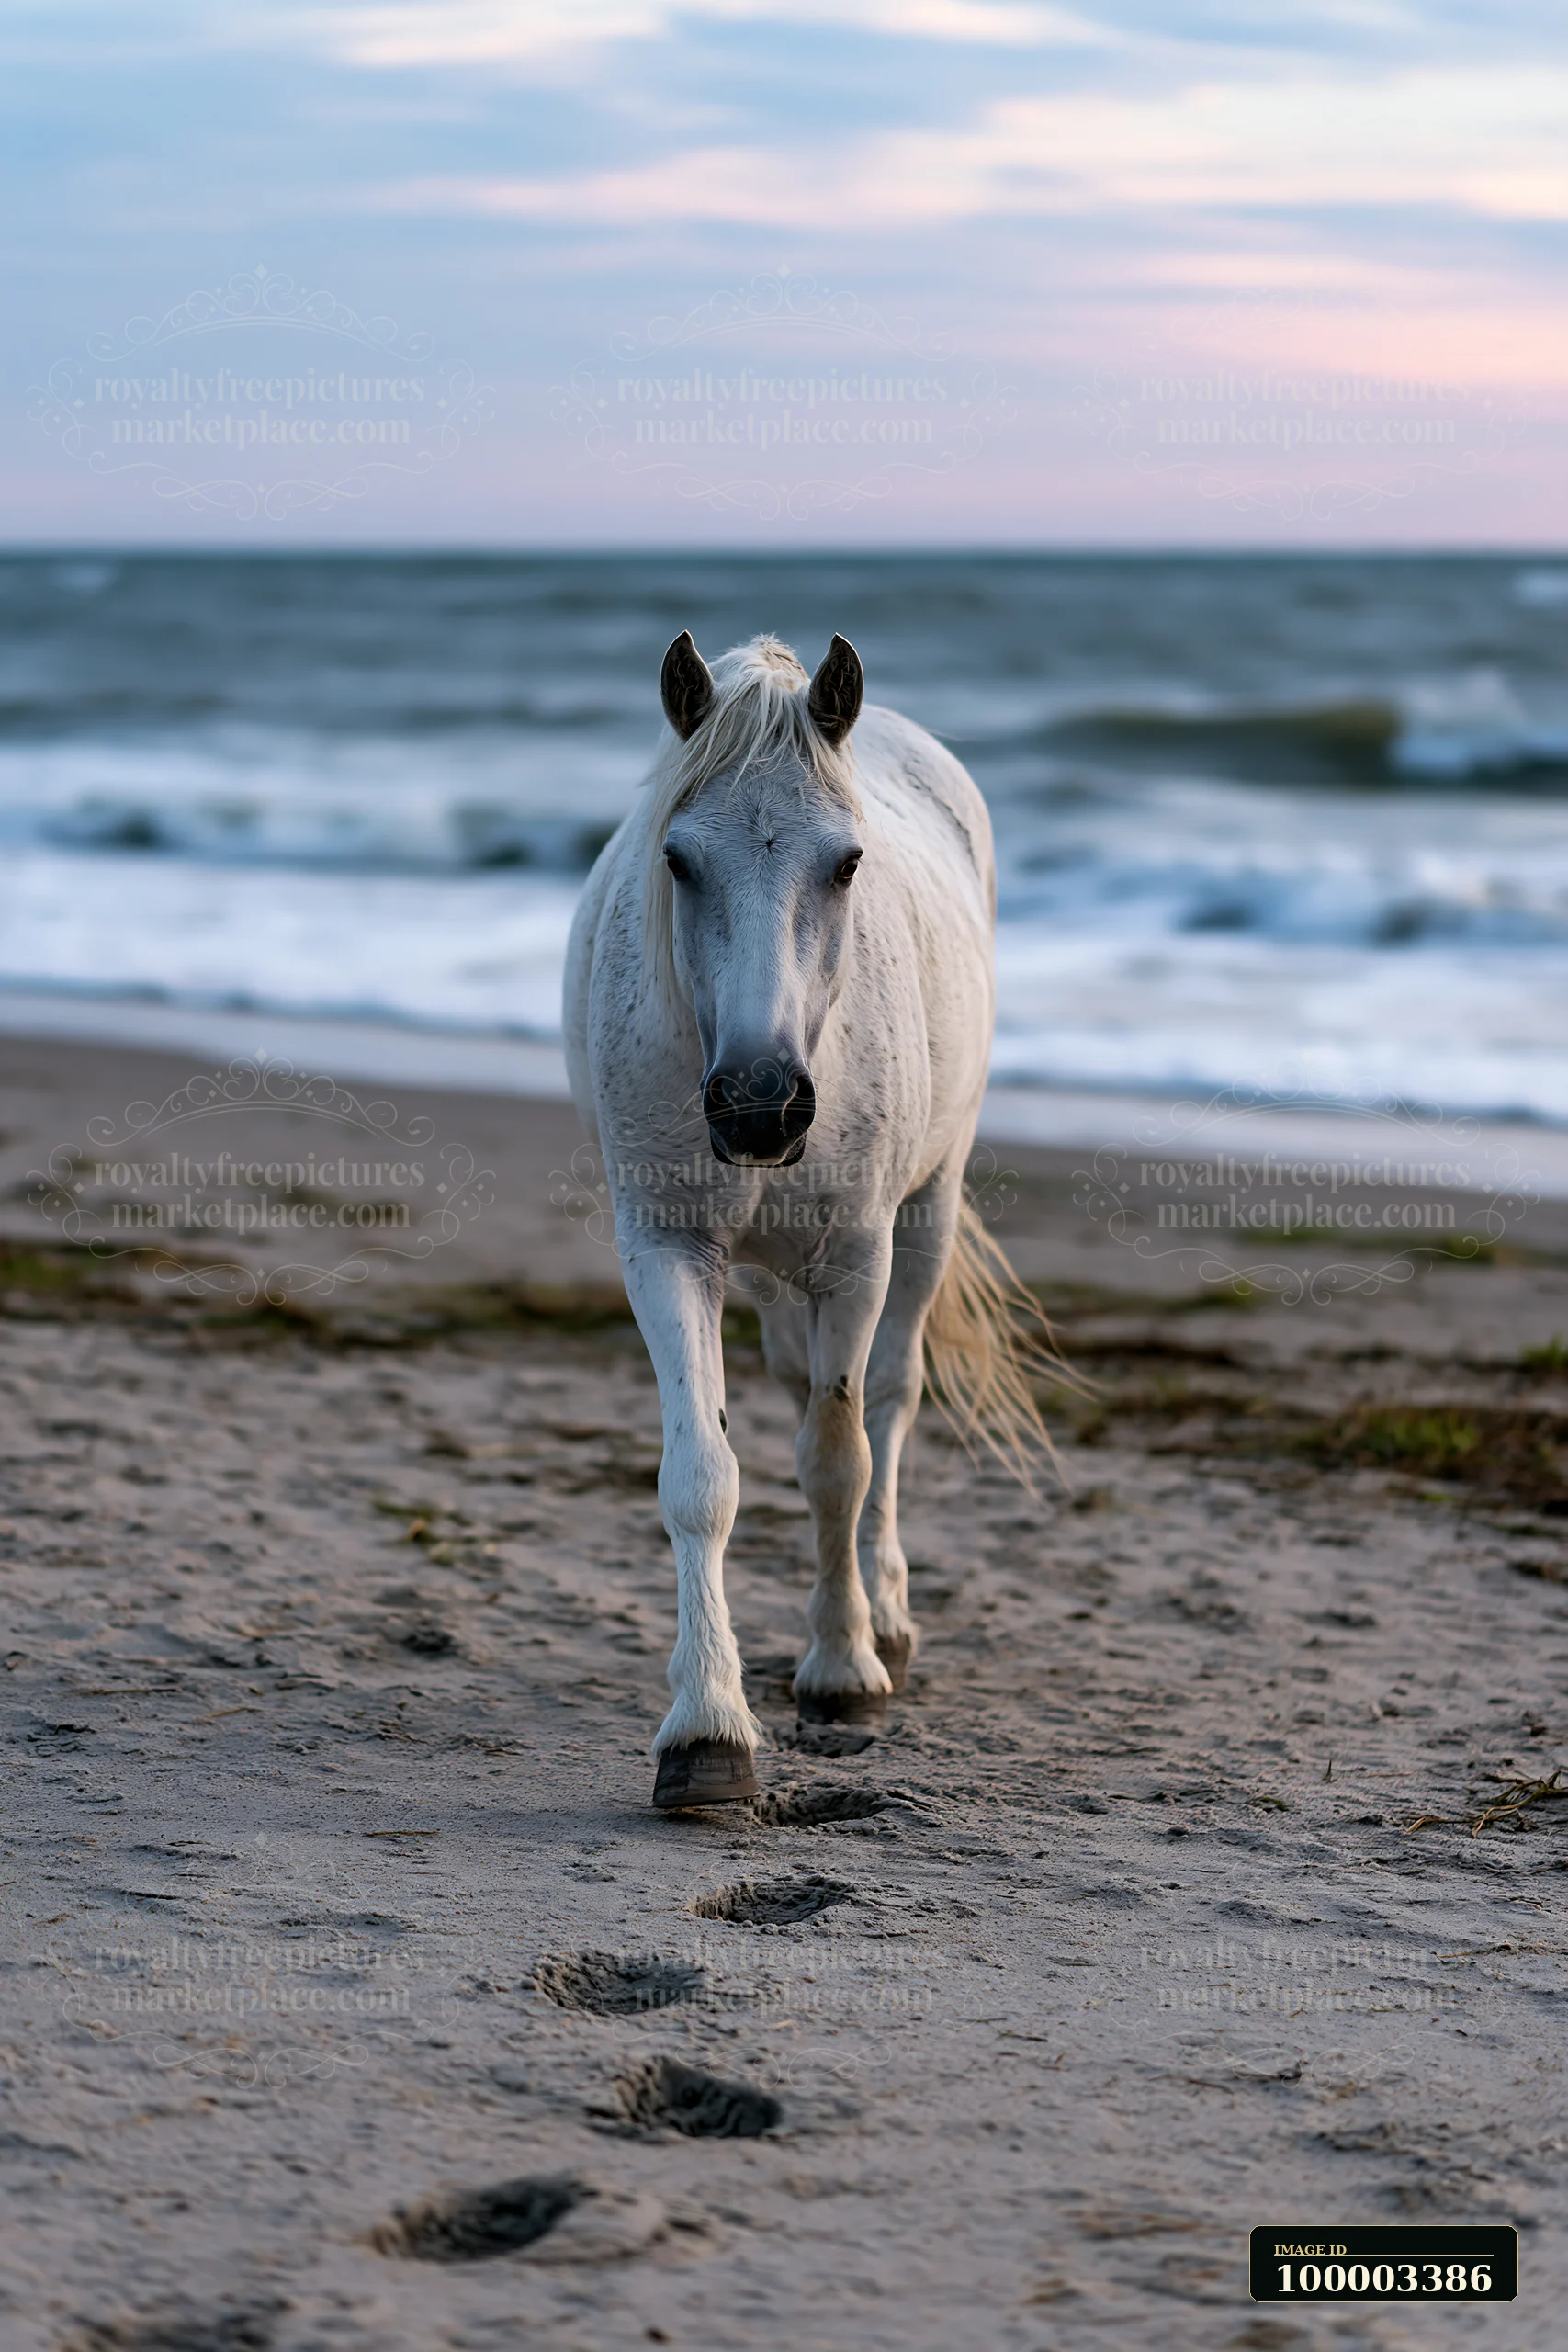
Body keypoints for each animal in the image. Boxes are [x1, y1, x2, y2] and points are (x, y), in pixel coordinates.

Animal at [565, 629, 1048, 1809]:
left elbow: (841, 1458)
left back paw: (888, 1618)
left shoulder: (854, 1260)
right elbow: (703, 1476)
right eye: (678, 859)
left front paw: (844, 1671)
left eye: (846, 863)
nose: (759, 1101)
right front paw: (708, 1731)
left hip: (925, 1217)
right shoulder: (667, 1253)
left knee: (889, 1402)